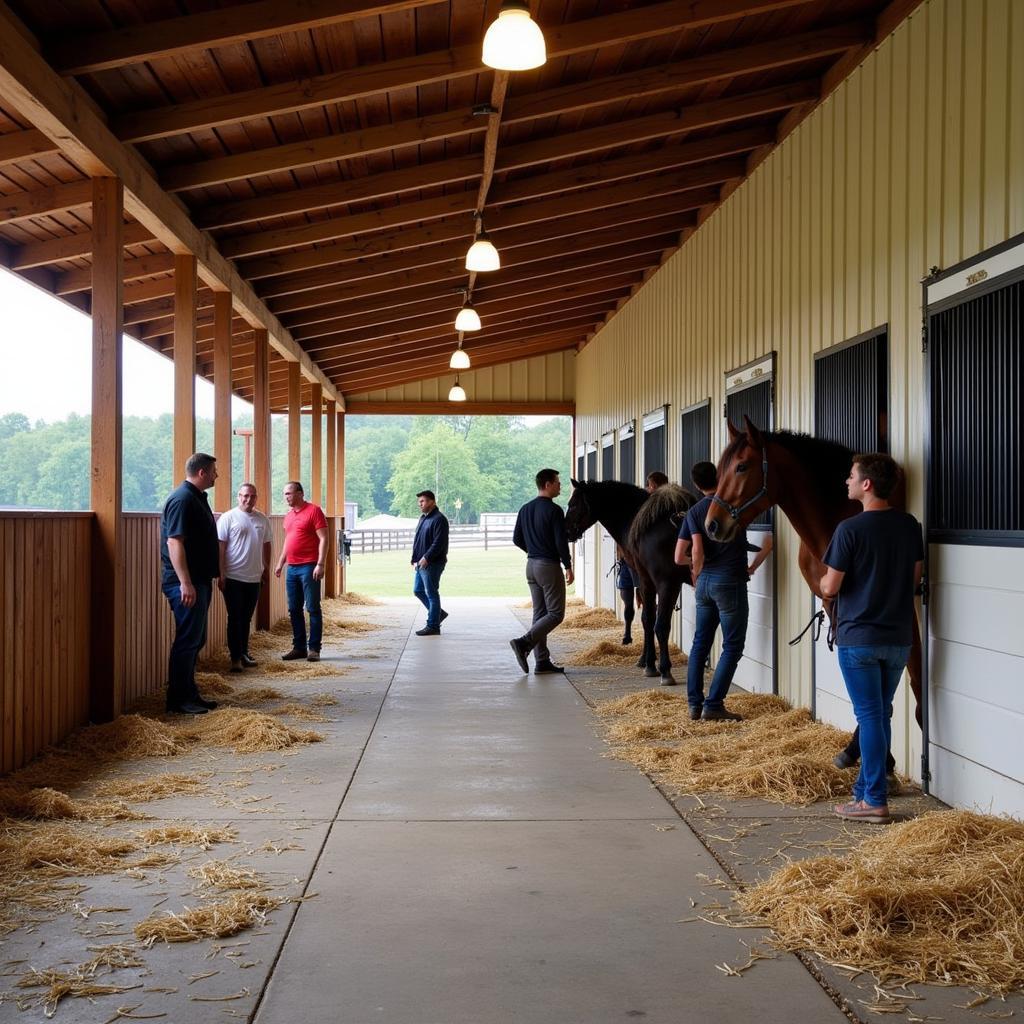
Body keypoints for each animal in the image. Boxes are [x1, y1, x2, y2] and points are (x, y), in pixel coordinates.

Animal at [565, 479, 700, 688]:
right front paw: (647, 660)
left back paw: (665, 671)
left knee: (661, 625)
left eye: (572, 504)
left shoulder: (647, 579)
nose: (566, 531)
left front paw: (649, 663)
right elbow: (648, 617)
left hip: (666, 584)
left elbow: (648, 619)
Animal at [704, 415, 921, 770]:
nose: (712, 525)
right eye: (720, 471)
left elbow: (905, 673)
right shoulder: (834, 603)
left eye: (741, 467)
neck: (833, 521)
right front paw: (862, 750)